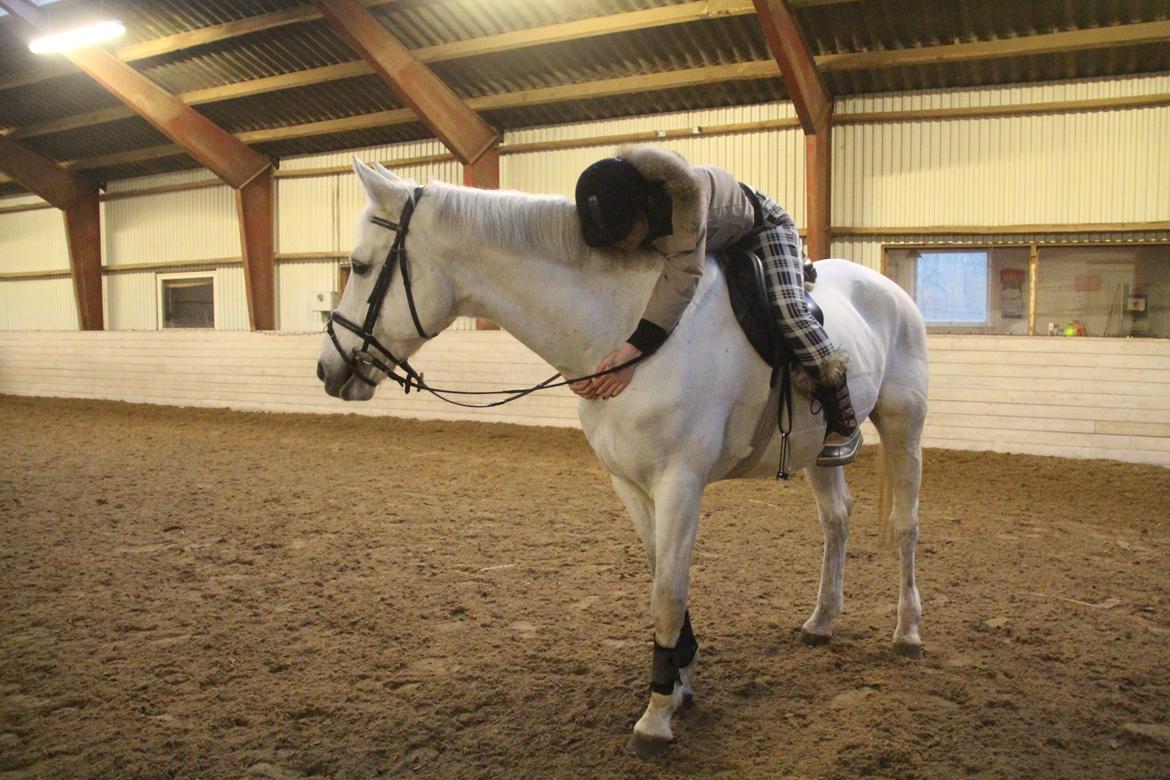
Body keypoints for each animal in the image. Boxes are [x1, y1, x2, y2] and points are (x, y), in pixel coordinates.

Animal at [317, 158, 929, 756]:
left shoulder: (680, 484)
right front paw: (678, 680)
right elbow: (661, 576)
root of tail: (890, 291)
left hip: (904, 424)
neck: (624, 331)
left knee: (904, 525)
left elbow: (668, 594)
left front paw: (655, 717)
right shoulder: (630, 484)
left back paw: (908, 632)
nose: (328, 368)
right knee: (836, 520)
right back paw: (822, 621)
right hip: (816, 454)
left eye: (360, 267)